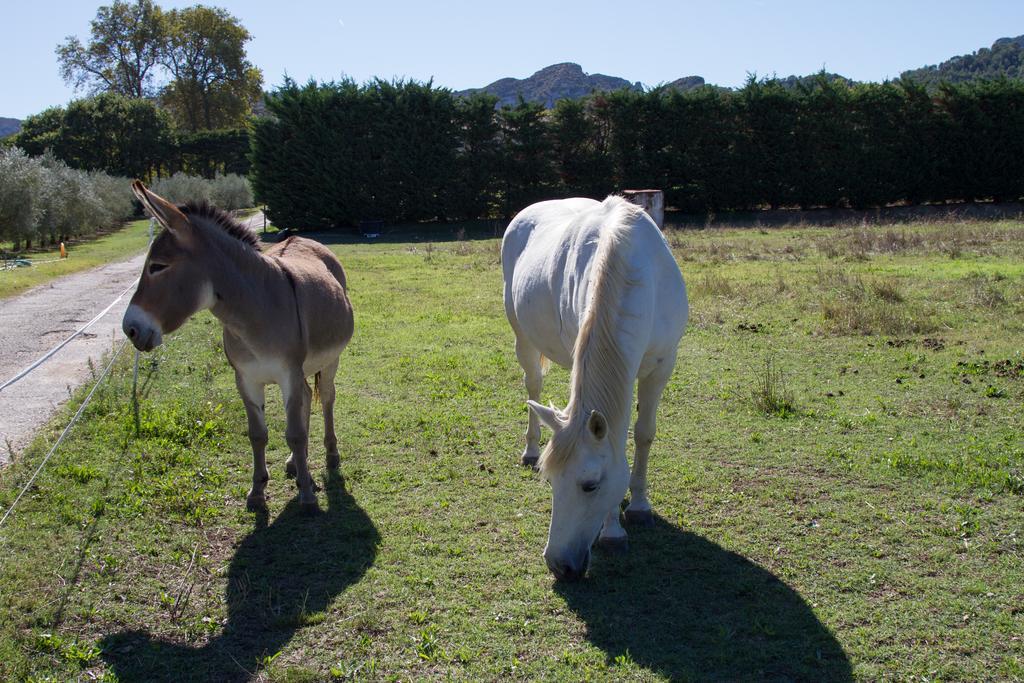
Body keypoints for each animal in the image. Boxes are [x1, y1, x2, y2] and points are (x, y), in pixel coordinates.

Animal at [503, 194, 688, 581]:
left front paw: (639, 507)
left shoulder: (663, 366)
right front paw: (613, 531)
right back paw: (530, 448)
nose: (558, 564)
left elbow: (644, 434)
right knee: (533, 385)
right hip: (523, 339)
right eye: (551, 480)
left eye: (590, 485)